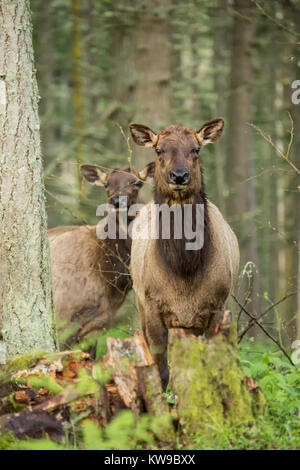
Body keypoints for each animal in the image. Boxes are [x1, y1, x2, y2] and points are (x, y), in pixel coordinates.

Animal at [129, 118, 239, 390]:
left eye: (196, 149)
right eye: (159, 150)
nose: (179, 175)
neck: (184, 272)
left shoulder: (217, 305)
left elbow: (210, 369)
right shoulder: (152, 304)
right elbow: (161, 371)